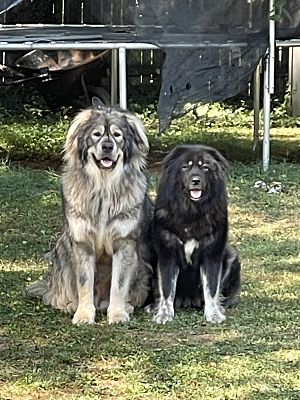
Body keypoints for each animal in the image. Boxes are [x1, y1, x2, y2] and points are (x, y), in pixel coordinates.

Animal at [151, 145, 240, 324]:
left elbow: (211, 288)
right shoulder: (167, 255)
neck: (191, 212)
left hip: (231, 257)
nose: (196, 181)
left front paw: (213, 314)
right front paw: (164, 314)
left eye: (205, 167)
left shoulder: (212, 255)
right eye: (186, 167)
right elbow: (167, 288)